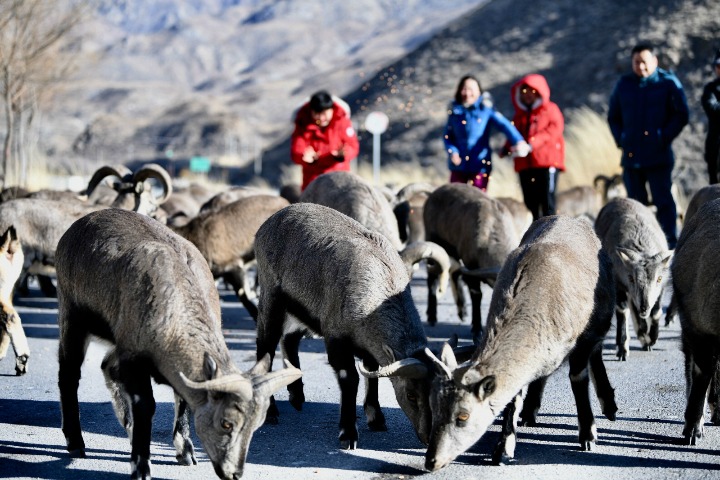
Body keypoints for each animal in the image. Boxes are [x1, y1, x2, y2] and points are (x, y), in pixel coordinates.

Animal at [55, 208, 302, 480]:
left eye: (255, 425)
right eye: (226, 422)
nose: (234, 473)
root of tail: (76, 227)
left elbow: (181, 398)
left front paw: (185, 451)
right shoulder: (133, 357)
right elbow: (146, 405)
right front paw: (141, 466)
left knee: (107, 367)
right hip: (72, 316)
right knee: (69, 375)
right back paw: (75, 441)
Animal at [254, 202, 447, 450]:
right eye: (411, 395)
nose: (427, 437)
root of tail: (268, 223)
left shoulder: (368, 346)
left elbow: (372, 373)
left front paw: (376, 418)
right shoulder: (336, 338)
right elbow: (350, 379)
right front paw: (347, 433)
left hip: (302, 310)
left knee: (290, 339)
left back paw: (297, 396)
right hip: (272, 298)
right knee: (266, 346)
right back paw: (271, 411)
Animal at [423, 183, 519, 341]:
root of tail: (434, 193)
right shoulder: (470, 264)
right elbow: (476, 294)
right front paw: (476, 328)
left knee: (454, 274)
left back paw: (462, 311)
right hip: (435, 242)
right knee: (432, 275)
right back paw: (432, 316)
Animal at [423, 215, 617, 470]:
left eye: (463, 416)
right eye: (433, 407)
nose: (431, 460)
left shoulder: (582, 340)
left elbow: (578, 378)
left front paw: (588, 435)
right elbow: (514, 396)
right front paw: (503, 449)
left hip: (601, 319)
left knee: (597, 352)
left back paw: (609, 405)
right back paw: (530, 411)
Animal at [594, 197, 672, 360]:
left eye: (659, 279)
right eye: (631, 278)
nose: (644, 307)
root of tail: (619, 198)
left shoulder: (660, 289)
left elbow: (656, 311)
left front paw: (652, 338)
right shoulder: (619, 284)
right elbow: (623, 312)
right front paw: (623, 349)